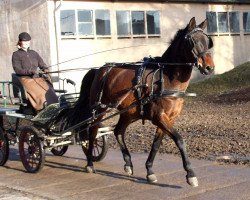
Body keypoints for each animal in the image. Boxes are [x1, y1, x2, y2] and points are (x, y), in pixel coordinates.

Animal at [71, 17, 214, 188]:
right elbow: (179, 140)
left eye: (208, 42)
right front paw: (190, 174)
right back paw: (90, 163)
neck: (165, 78)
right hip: (99, 109)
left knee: (118, 131)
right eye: (194, 41)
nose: (209, 68)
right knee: (92, 131)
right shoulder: (160, 117)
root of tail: (99, 69)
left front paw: (150, 171)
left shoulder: (168, 119)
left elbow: (156, 144)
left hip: (129, 112)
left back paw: (128, 163)